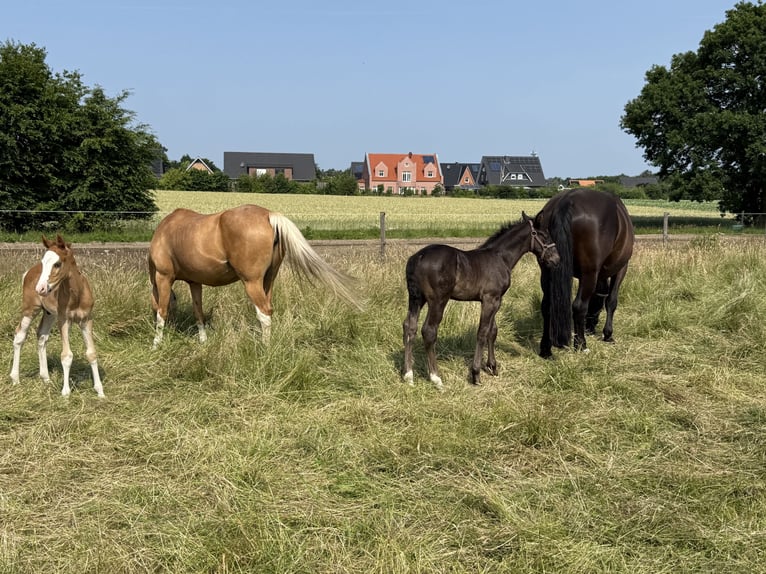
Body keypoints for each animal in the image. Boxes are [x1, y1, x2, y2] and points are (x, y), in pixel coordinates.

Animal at [10, 235, 105, 398]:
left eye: (57, 264)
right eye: (43, 262)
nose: (40, 288)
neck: (77, 295)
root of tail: (28, 272)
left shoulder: (86, 320)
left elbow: (91, 353)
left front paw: (100, 391)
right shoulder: (64, 320)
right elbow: (66, 356)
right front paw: (66, 392)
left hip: (49, 314)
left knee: (42, 335)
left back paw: (46, 378)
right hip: (30, 309)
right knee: (20, 336)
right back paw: (15, 378)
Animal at [148, 204, 363, 349]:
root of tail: (268, 215)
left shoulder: (163, 278)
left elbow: (162, 311)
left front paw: (156, 344)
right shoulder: (195, 283)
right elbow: (198, 312)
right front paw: (203, 341)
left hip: (252, 283)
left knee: (264, 313)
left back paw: (265, 349)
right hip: (267, 281)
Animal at [402, 212, 560, 388]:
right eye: (544, 235)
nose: (556, 259)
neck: (501, 258)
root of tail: (418, 257)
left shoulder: (496, 300)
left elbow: (493, 331)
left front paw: (492, 367)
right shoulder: (490, 299)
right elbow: (482, 332)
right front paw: (476, 374)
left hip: (416, 298)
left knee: (409, 327)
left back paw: (408, 375)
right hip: (438, 300)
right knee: (429, 331)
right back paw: (436, 378)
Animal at [535, 188, 634, 358]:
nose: (590, 327)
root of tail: (567, 199)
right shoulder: (621, 268)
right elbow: (611, 301)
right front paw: (608, 334)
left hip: (547, 272)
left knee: (547, 306)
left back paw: (546, 348)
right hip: (589, 273)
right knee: (579, 306)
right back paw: (581, 344)